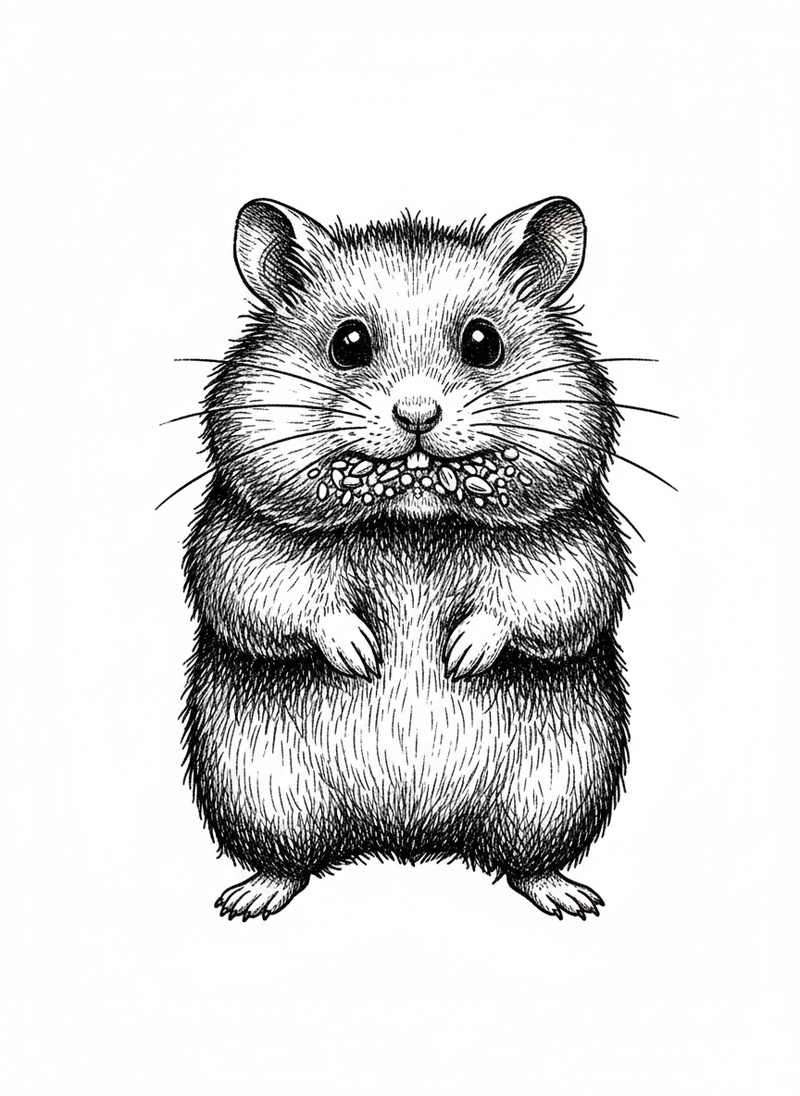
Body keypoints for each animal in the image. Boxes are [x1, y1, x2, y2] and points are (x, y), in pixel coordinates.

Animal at [182, 196, 632, 921]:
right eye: (348, 343)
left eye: (483, 342)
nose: (418, 414)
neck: (412, 522)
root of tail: (409, 837)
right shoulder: (239, 536)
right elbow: (275, 594)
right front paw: (364, 657)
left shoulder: (576, 539)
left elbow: (544, 596)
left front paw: (460, 657)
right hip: (255, 786)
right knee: (287, 859)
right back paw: (248, 899)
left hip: (562, 786)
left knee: (529, 860)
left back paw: (571, 899)